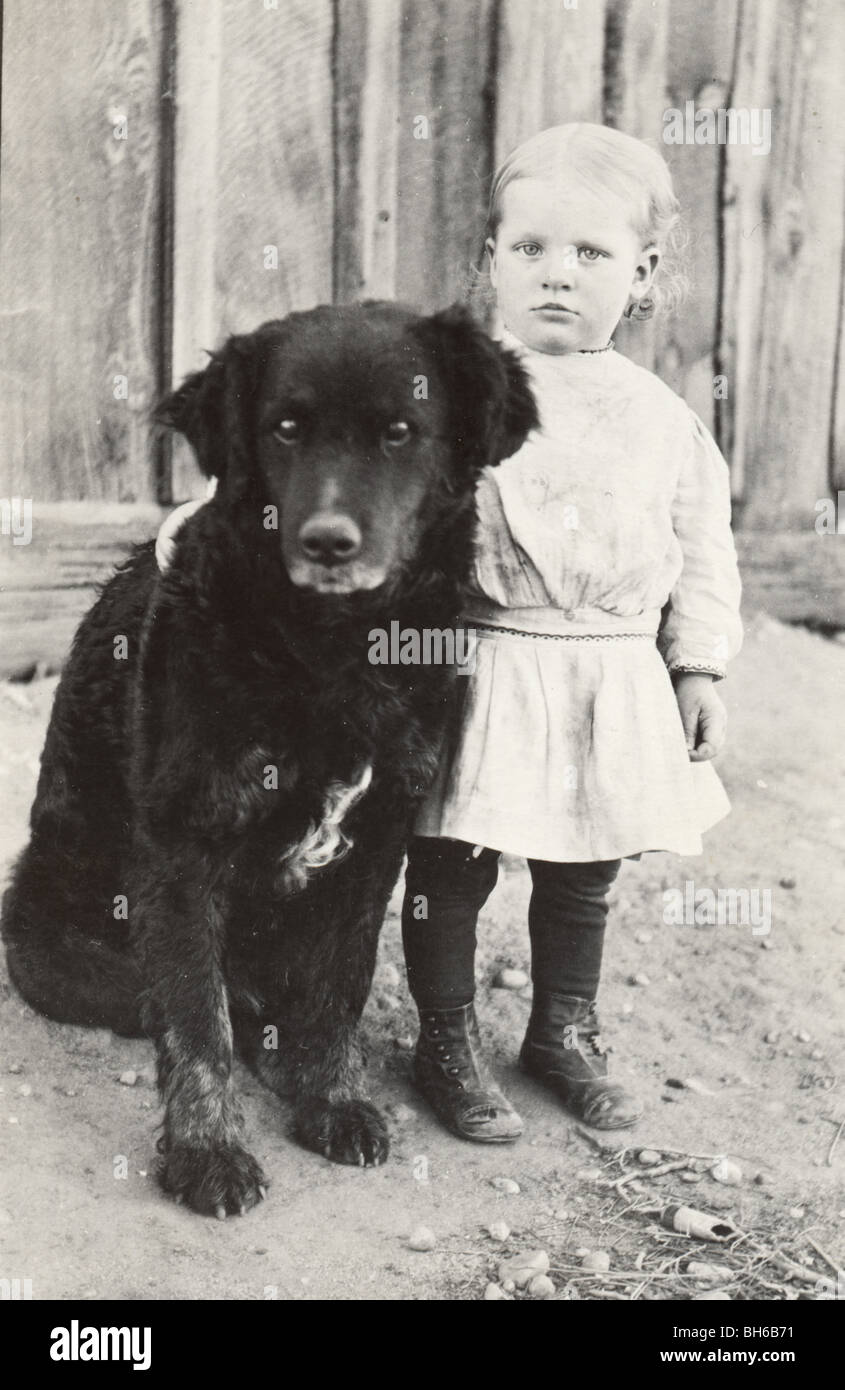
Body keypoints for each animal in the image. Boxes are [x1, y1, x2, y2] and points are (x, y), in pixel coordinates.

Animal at [3, 301, 533, 1217]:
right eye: (284, 427)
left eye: (401, 431)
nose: (327, 541)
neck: (330, 653)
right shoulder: (185, 840)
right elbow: (195, 1018)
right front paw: (208, 1153)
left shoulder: (380, 834)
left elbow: (341, 983)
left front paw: (331, 1097)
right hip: (57, 941)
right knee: (191, 999)